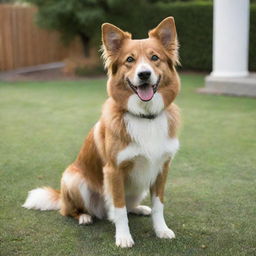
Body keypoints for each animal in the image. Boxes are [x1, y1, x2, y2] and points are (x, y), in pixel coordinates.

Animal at [23, 16, 180, 248]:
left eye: (155, 58)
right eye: (130, 60)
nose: (144, 74)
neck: (144, 117)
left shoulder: (162, 167)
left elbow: (159, 204)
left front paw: (161, 230)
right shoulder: (114, 170)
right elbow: (120, 208)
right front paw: (123, 237)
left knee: (128, 206)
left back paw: (139, 208)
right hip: (73, 179)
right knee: (70, 211)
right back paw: (85, 216)